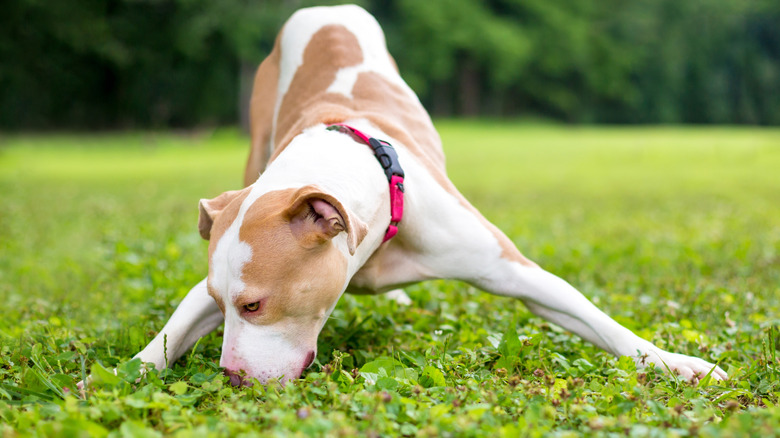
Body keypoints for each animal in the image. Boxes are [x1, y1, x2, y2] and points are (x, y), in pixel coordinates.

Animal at [126, 5, 724, 384]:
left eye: (254, 305)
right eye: (221, 301)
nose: (230, 377)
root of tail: (324, 8)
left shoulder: (508, 267)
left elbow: (593, 318)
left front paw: (674, 362)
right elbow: (171, 333)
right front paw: (131, 369)